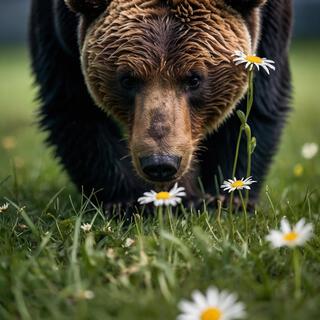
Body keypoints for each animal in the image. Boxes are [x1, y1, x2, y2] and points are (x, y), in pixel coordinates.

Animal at [30, 0, 292, 211]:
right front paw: (126, 202)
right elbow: (74, 109)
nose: (160, 163)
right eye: (127, 79)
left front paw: (224, 199)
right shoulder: (59, 35)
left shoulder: (268, 30)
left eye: (194, 79)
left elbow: (257, 108)